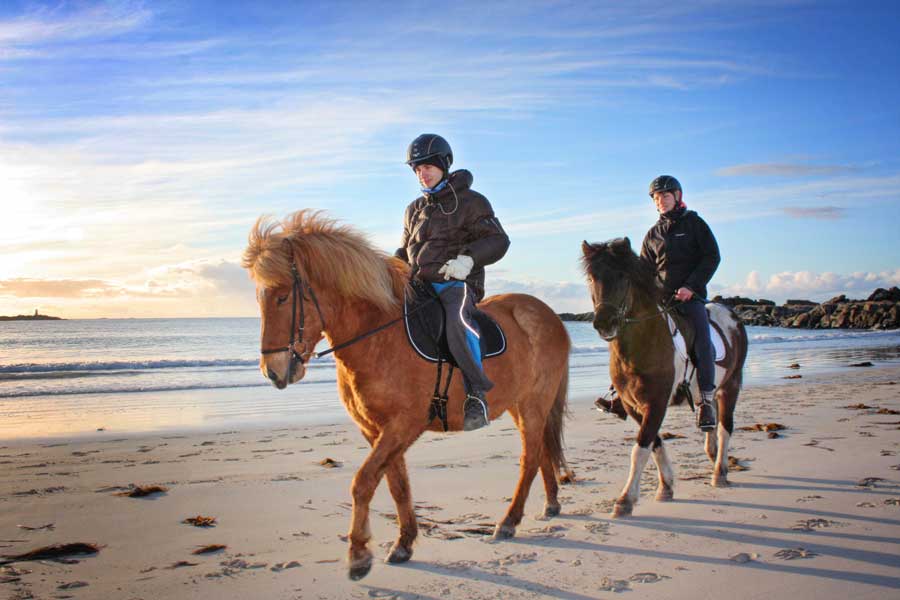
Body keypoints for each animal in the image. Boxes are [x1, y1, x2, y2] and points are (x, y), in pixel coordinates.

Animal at [243, 212, 572, 580]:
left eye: (283, 297)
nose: (273, 372)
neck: (379, 337)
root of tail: (548, 315)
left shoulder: (403, 425)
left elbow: (363, 482)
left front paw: (359, 555)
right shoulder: (376, 430)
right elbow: (395, 483)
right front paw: (403, 543)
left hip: (534, 403)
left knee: (529, 458)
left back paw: (509, 522)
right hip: (519, 404)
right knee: (541, 451)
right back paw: (551, 503)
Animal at [580, 238, 748, 516]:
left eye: (623, 276)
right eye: (592, 278)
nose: (604, 323)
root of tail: (732, 314)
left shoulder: (656, 403)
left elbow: (640, 448)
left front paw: (625, 500)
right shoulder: (634, 406)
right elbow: (654, 443)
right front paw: (666, 487)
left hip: (731, 385)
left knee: (726, 428)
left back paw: (720, 473)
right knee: (710, 414)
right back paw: (712, 453)